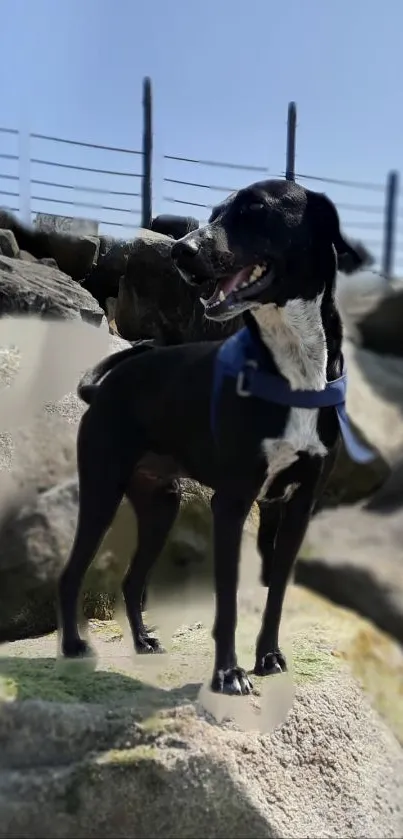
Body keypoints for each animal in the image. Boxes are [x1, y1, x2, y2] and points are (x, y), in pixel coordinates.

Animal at [59, 182, 366, 696]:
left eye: (255, 208)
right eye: (213, 213)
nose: (181, 251)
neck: (293, 368)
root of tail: (103, 388)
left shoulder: (296, 508)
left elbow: (277, 593)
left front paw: (268, 657)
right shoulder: (232, 504)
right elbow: (227, 603)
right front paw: (228, 674)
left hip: (161, 506)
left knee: (131, 580)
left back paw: (142, 641)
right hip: (102, 492)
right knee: (70, 572)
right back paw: (72, 646)